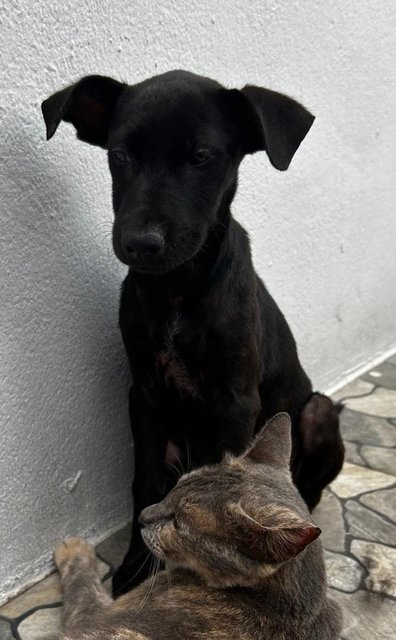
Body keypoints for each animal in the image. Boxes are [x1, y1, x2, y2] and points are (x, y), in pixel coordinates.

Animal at [41, 70, 344, 596]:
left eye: (201, 156)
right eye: (120, 154)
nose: (140, 244)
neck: (177, 289)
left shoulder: (235, 400)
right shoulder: (143, 396)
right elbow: (143, 485)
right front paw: (135, 568)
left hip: (318, 412)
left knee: (307, 490)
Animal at [49, 412, 342, 636]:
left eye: (178, 523)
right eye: (173, 489)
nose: (142, 515)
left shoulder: (91, 619)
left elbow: (84, 588)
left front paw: (75, 547)